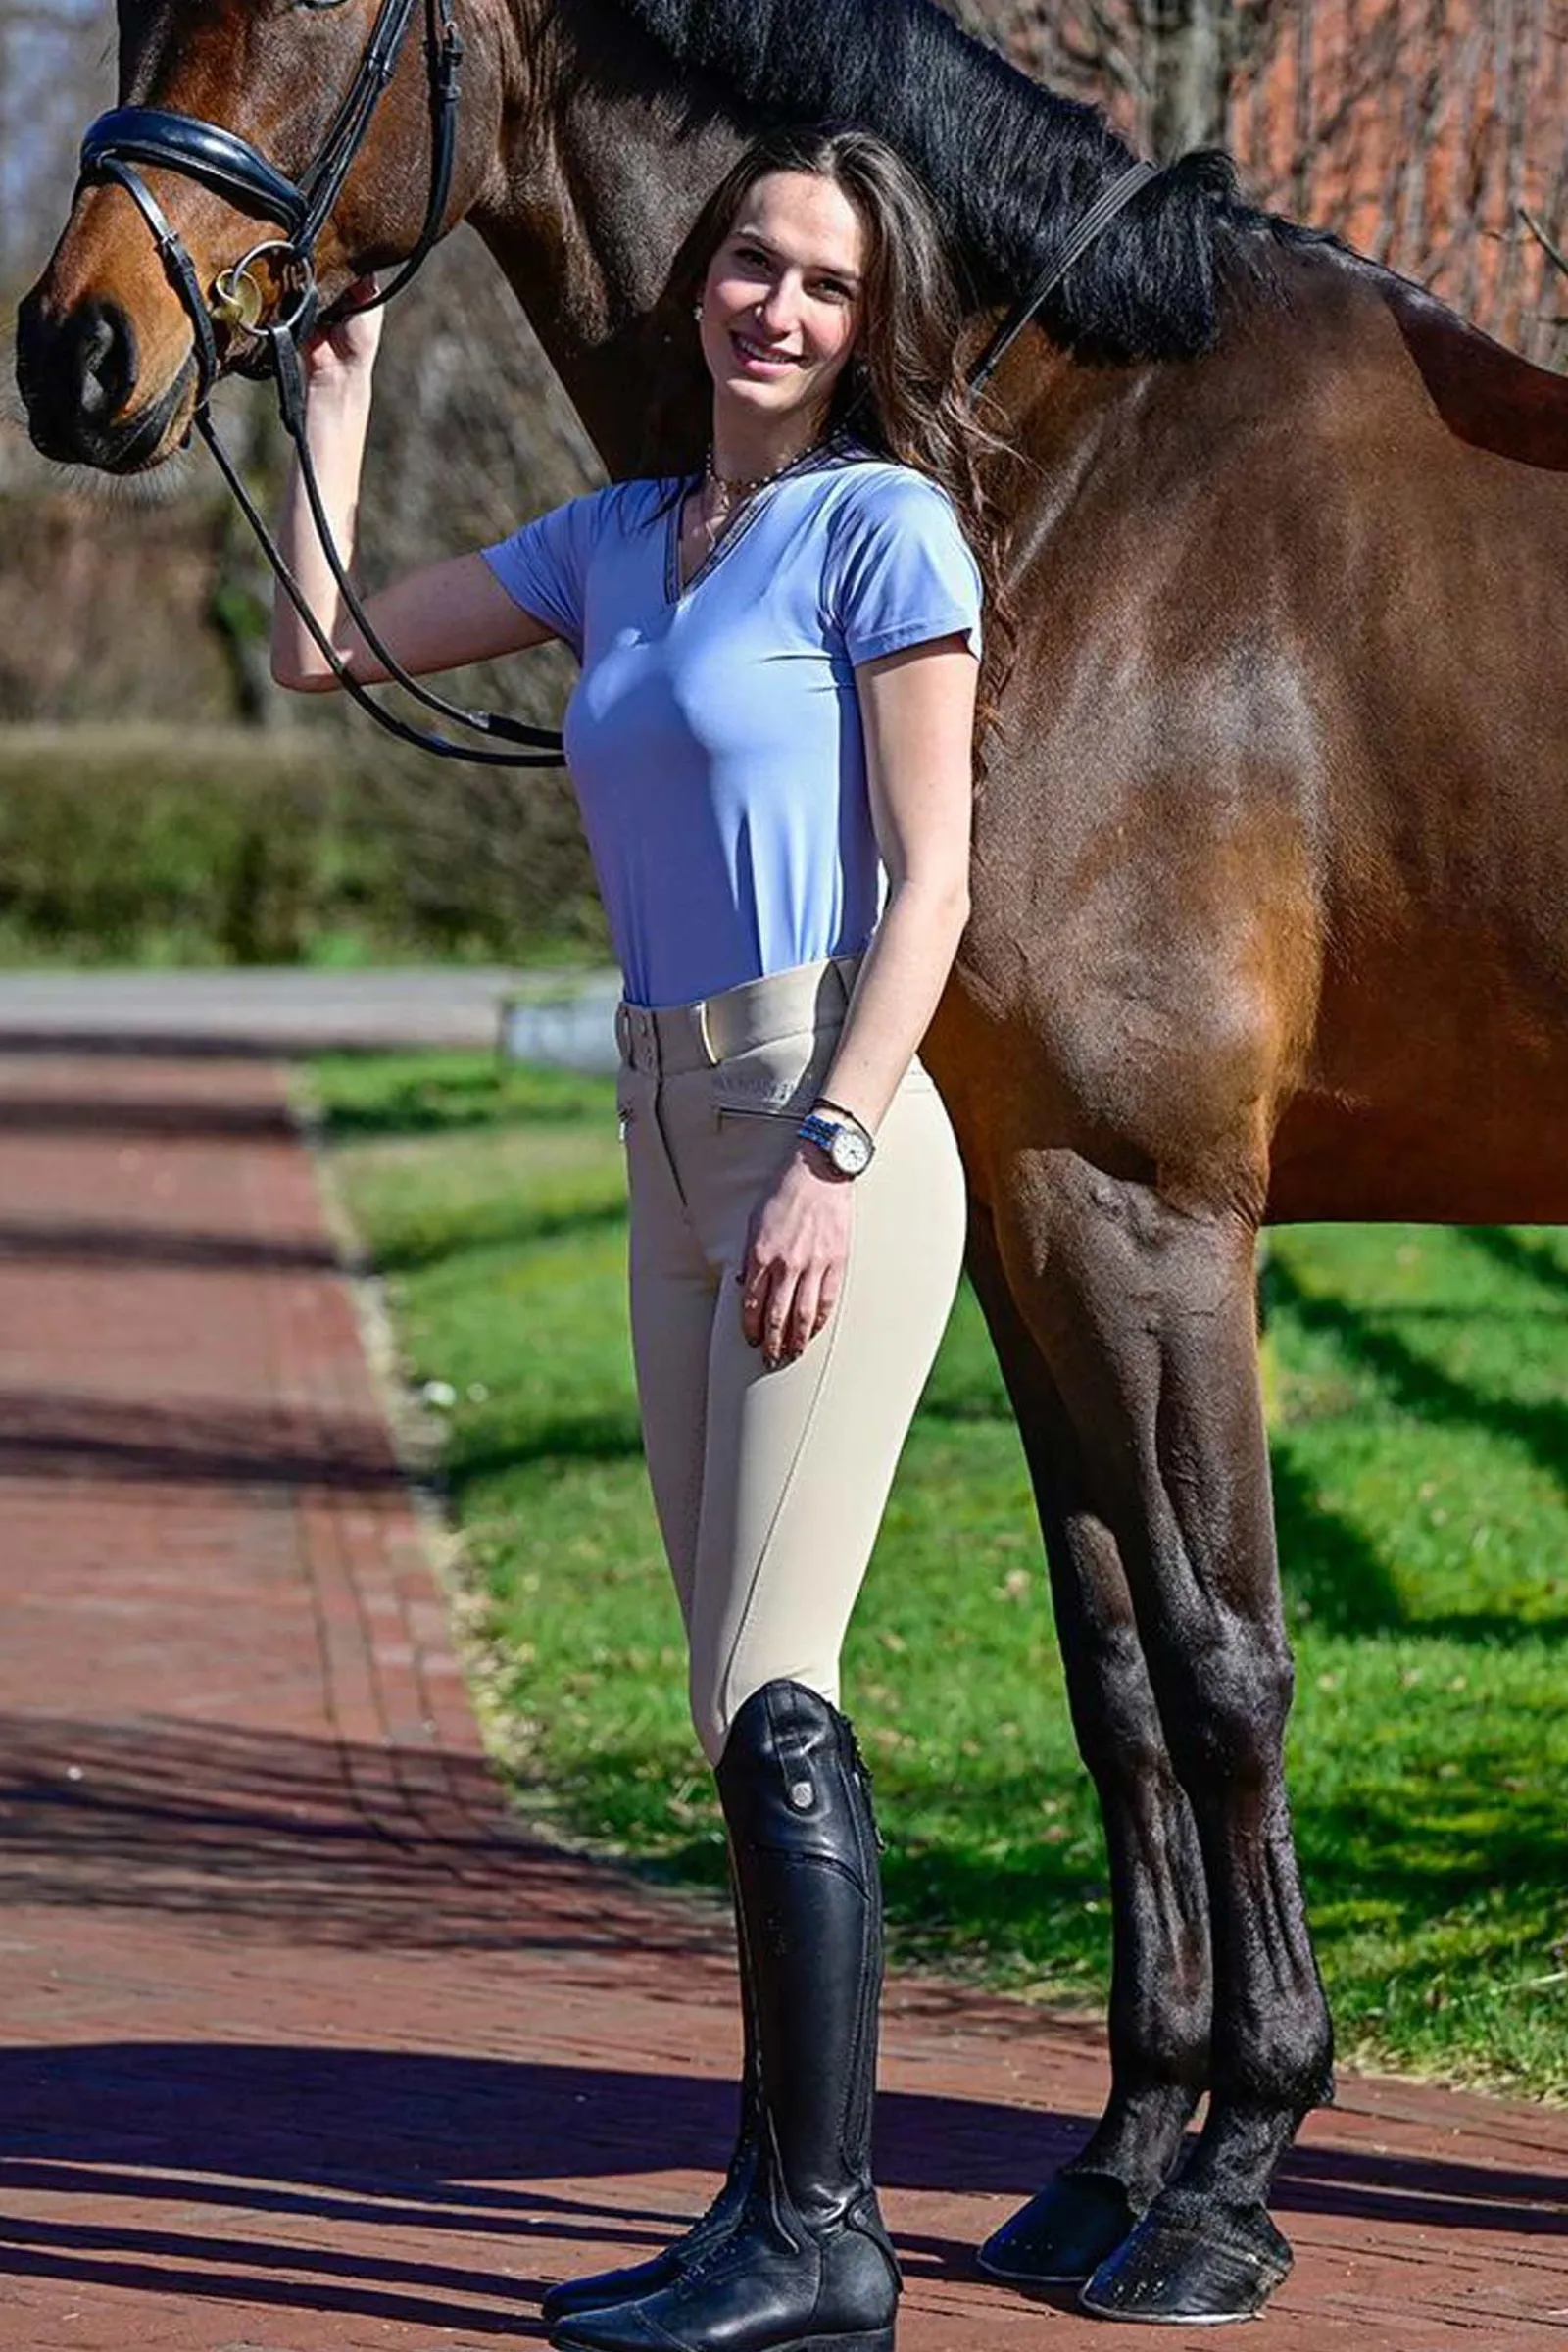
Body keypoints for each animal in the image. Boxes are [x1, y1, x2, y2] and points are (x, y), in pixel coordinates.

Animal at [16, 0, 1568, 2325]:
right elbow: (1116, 1674)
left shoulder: (1154, 1217)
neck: (1061, 483)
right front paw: (1113, 2164)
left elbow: (1226, 1663)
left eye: (316, 9)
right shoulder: (1026, 1221)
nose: (77, 349)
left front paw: (1228, 2181)